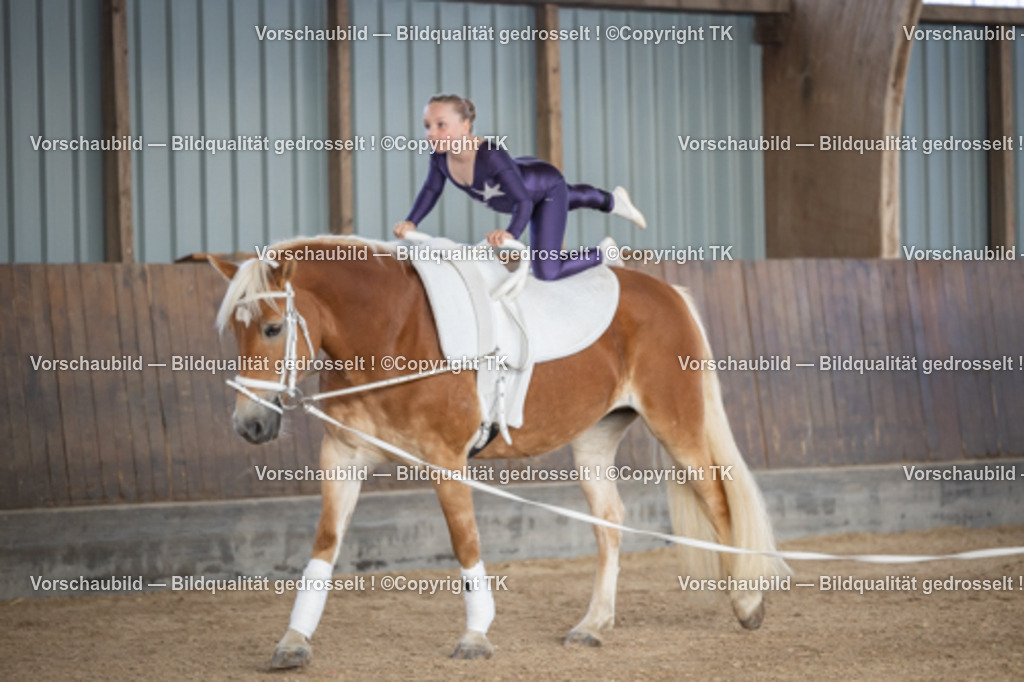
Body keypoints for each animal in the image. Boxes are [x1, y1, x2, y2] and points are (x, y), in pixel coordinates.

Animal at [209, 235, 789, 669]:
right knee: (610, 521)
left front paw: (475, 636)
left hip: (676, 426)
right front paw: (293, 640)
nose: (249, 425)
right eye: (234, 331)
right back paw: (593, 624)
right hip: (595, 439)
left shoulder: (445, 459)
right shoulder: (342, 455)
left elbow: (464, 543)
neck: (392, 330)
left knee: (717, 499)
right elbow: (325, 544)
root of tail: (667, 291)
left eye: (273, 327)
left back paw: (747, 602)